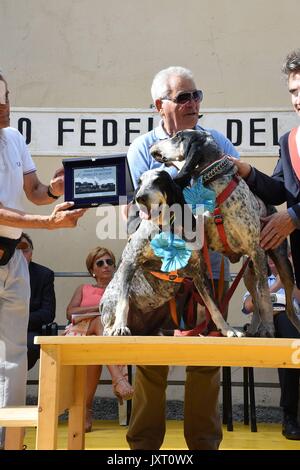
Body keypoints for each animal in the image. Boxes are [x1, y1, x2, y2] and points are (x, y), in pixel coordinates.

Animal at [101, 169, 241, 338]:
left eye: (158, 181)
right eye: (139, 183)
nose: (140, 197)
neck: (165, 228)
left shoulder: (198, 272)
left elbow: (213, 306)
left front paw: (227, 329)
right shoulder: (130, 262)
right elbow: (123, 301)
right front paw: (120, 327)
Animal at [150, 129, 300, 336]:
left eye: (178, 136)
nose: (155, 141)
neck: (211, 186)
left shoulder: (256, 251)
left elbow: (265, 297)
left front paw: (269, 330)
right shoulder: (201, 259)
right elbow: (211, 302)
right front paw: (227, 330)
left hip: (282, 266)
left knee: (286, 307)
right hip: (248, 274)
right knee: (254, 300)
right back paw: (253, 329)